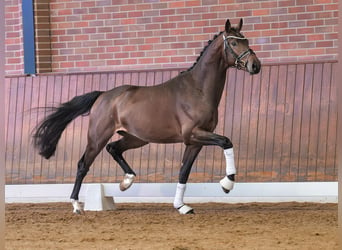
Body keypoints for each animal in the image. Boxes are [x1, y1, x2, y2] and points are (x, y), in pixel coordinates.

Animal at [33, 19, 260, 215]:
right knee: (83, 164)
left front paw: (181, 206)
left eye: (246, 40)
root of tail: (103, 95)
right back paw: (76, 205)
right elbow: (226, 141)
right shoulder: (194, 134)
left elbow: (184, 171)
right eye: (233, 42)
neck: (198, 90)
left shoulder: (195, 141)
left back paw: (127, 181)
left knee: (113, 148)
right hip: (97, 137)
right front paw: (227, 183)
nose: (255, 65)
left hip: (136, 138)